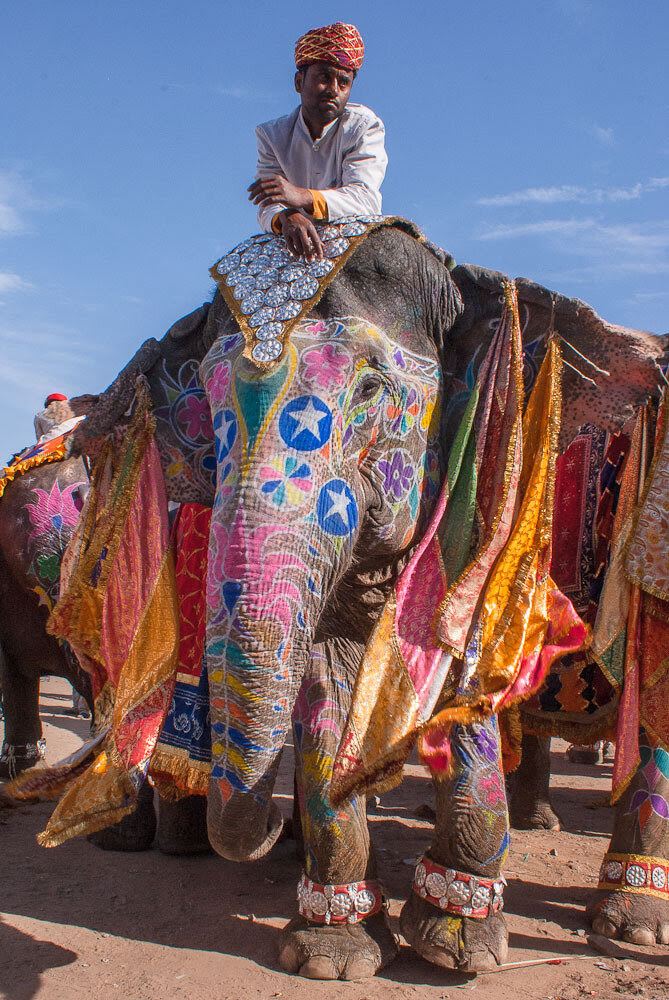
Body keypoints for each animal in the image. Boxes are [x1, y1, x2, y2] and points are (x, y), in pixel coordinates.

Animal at [41, 220, 669, 977]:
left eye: (370, 389)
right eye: (209, 407)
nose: (271, 828)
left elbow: (462, 674)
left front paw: (456, 943)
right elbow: (324, 680)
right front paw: (333, 950)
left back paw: (630, 921)